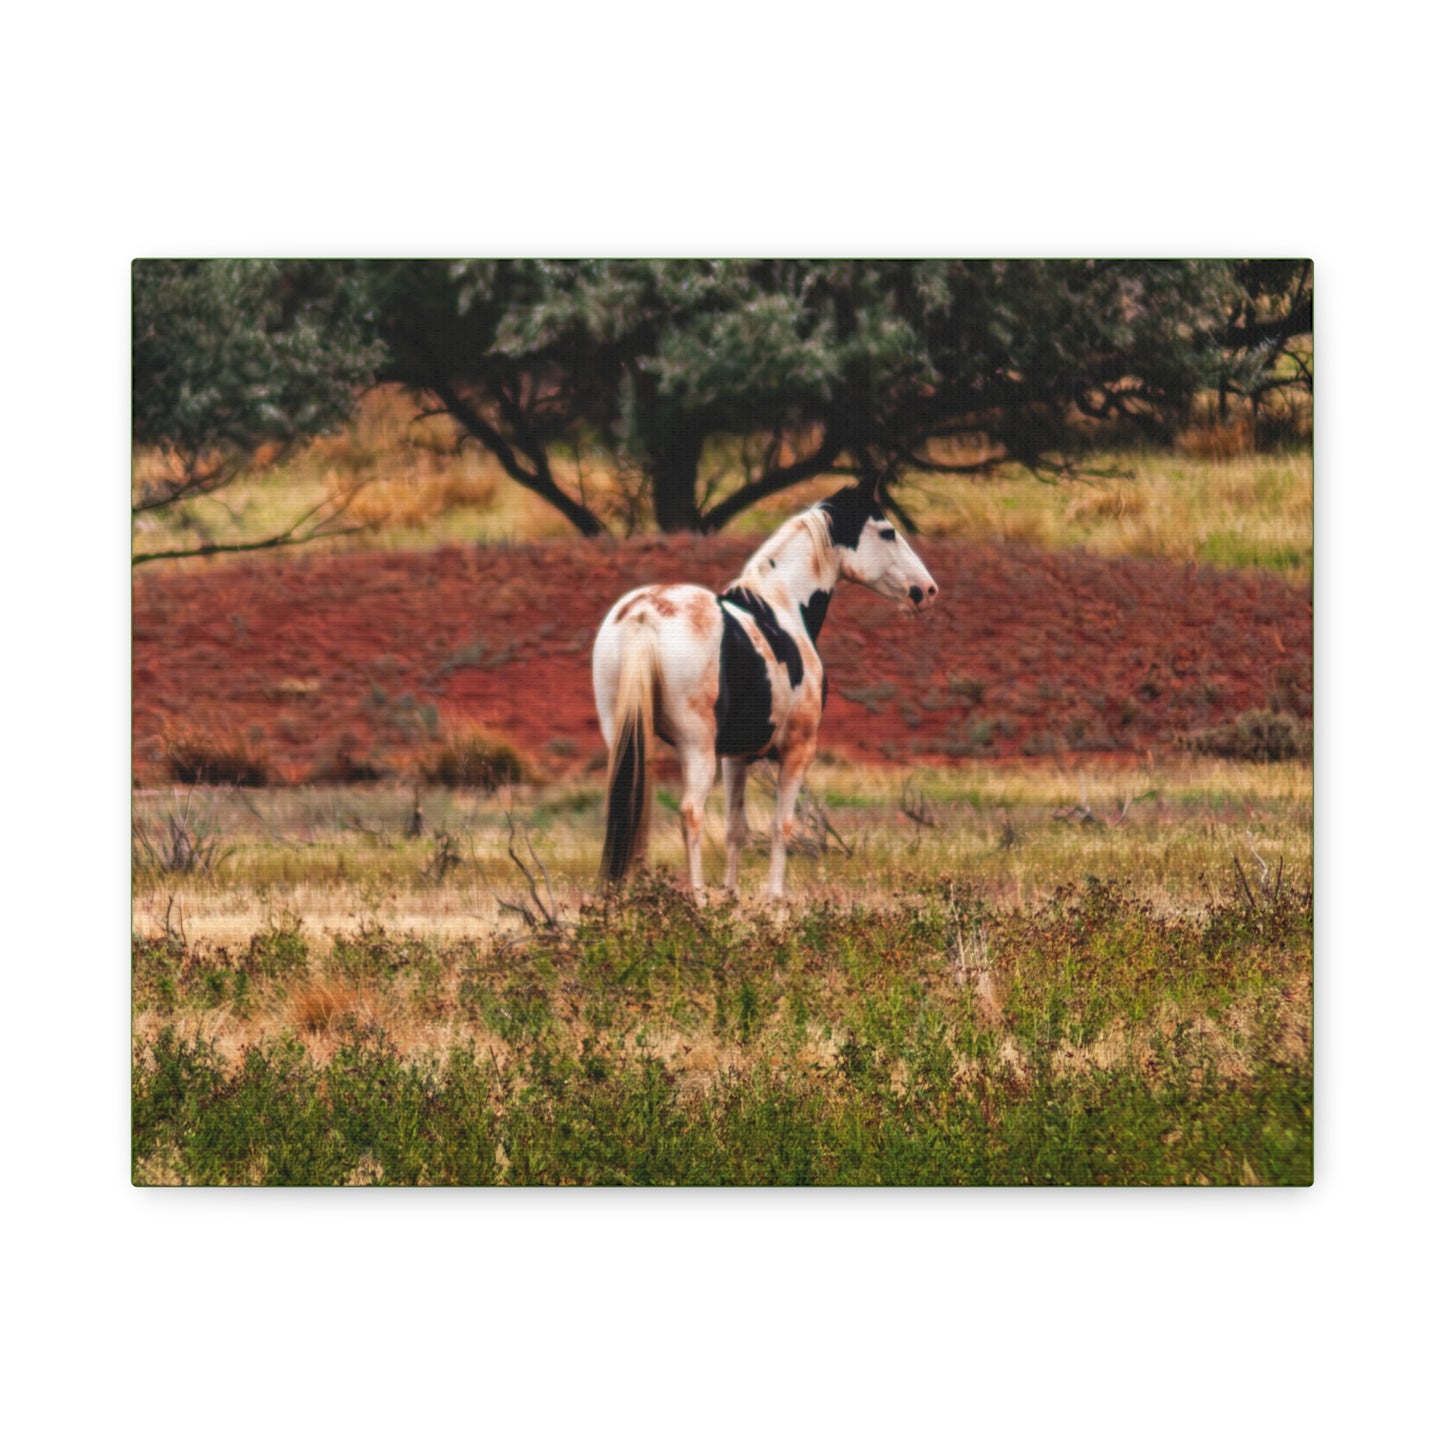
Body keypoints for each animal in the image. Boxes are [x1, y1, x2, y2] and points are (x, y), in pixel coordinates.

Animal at [591, 478, 939, 901]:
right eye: (887, 531)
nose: (926, 591)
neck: (781, 608)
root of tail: (644, 614)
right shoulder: (797, 751)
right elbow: (781, 825)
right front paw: (774, 898)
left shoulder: (735, 757)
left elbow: (735, 828)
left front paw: (731, 894)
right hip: (695, 747)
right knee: (691, 812)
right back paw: (698, 898)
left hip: (627, 735)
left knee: (632, 806)